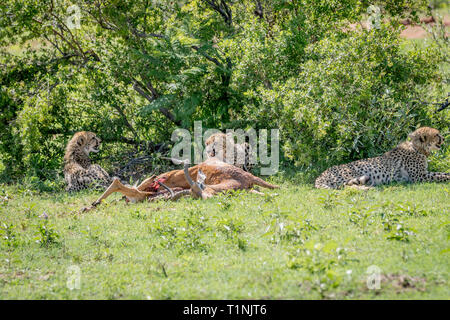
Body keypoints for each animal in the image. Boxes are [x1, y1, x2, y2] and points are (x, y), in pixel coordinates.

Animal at [314, 126, 448, 189]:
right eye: (437, 135)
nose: (444, 138)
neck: (417, 148)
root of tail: (319, 176)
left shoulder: (424, 173)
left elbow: (442, 173)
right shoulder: (419, 177)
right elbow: (441, 177)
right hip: (352, 173)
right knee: (350, 187)